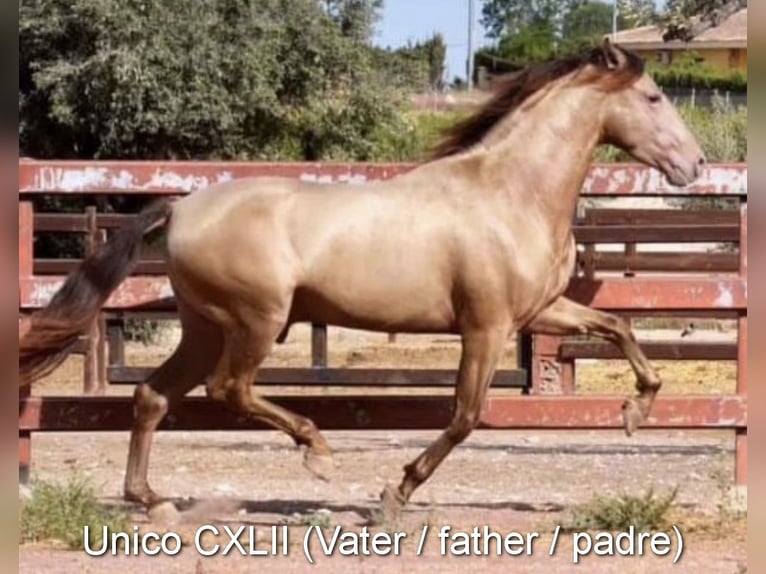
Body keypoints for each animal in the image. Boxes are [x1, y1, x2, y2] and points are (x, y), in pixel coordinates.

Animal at [18, 39, 704, 528]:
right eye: (652, 98)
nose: (693, 164)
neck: (509, 193)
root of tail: (182, 206)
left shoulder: (538, 313)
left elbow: (617, 327)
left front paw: (636, 411)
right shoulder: (485, 327)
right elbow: (465, 416)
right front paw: (392, 495)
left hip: (203, 326)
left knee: (153, 397)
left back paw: (153, 499)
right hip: (255, 320)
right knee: (229, 389)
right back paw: (317, 455)